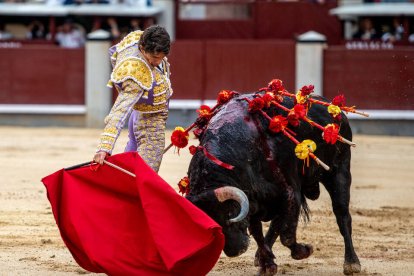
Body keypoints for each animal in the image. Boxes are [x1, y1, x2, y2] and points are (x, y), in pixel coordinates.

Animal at [186, 94, 360, 274]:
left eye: (230, 214)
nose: (235, 251)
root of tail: (335, 109)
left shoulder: (291, 193)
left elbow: (287, 236)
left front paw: (304, 250)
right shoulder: (253, 202)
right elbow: (259, 233)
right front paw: (268, 265)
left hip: (339, 170)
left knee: (342, 214)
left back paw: (352, 262)